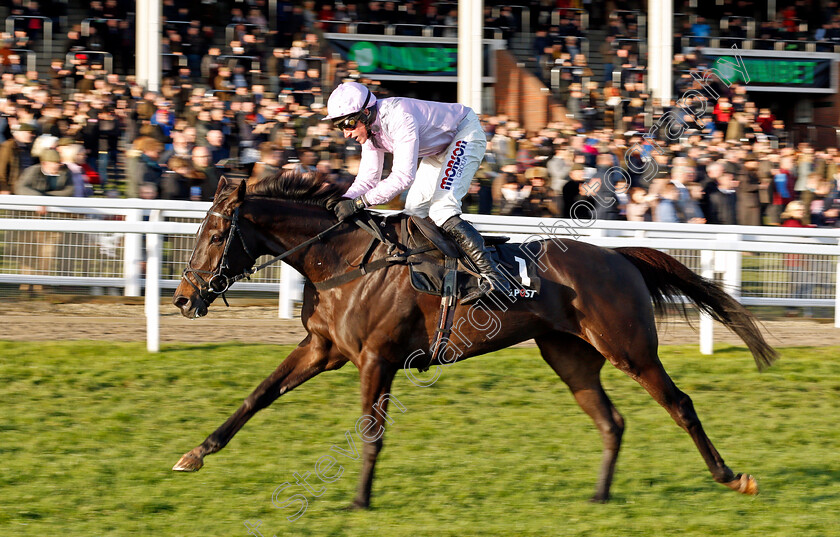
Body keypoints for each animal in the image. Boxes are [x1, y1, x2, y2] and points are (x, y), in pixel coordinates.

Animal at [172, 173, 780, 506]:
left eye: (215, 233)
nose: (182, 297)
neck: (344, 260)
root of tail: (621, 258)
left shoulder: (376, 359)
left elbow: (370, 434)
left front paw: (359, 501)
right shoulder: (323, 350)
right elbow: (257, 396)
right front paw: (195, 453)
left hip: (630, 349)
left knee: (680, 404)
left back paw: (732, 477)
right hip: (571, 356)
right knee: (611, 420)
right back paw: (600, 495)